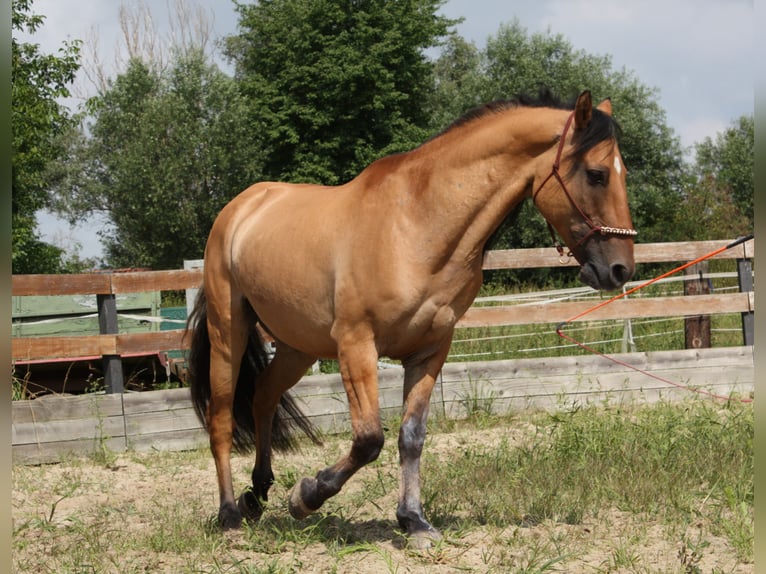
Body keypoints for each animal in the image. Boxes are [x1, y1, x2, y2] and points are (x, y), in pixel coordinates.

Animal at [189, 89, 640, 548]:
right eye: (597, 174)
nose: (621, 270)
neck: (417, 225)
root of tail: (241, 208)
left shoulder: (430, 350)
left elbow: (411, 436)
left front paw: (414, 521)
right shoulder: (356, 346)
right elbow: (369, 440)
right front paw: (306, 495)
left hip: (298, 346)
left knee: (263, 396)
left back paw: (257, 494)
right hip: (229, 333)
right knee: (222, 419)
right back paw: (230, 515)